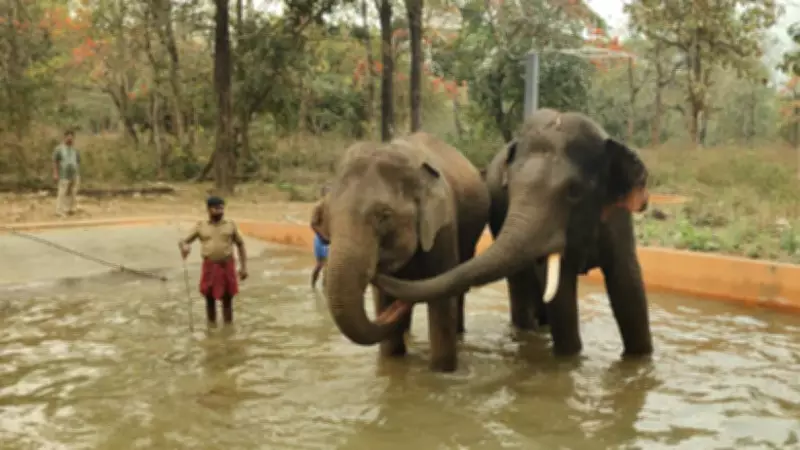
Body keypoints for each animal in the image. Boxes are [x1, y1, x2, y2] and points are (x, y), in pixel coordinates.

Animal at [317, 131, 490, 372]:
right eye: (326, 216)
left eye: (384, 216)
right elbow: (383, 300)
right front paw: (392, 362)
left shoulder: (443, 228)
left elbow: (442, 302)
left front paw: (441, 371)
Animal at [372, 108, 654, 358]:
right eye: (511, 188)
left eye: (574, 191)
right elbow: (560, 290)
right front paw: (571, 357)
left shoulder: (617, 216)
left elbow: (627, 282)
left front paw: (640, 358)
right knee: (520, 282)